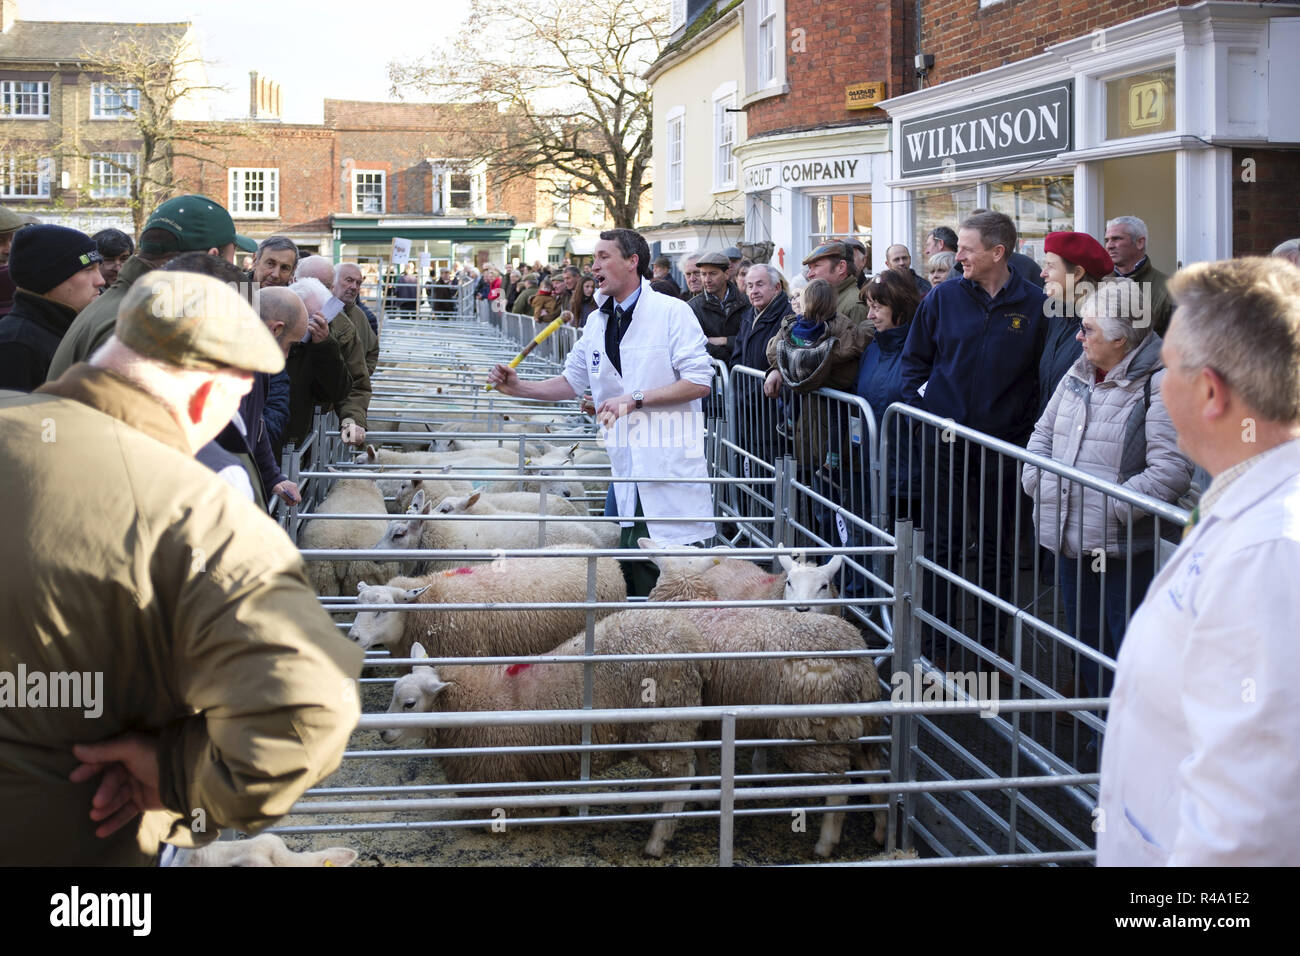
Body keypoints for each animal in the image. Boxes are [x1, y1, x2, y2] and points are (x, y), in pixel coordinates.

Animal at [382, 613, 707, 858]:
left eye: (409, 704)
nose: (384, 732)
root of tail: (688, 636)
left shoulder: (500, 778)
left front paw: (548, 810)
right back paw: (639, 806)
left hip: (665, 726)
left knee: (682, 776)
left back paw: (657, 839)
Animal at [644, 546, 889, 858]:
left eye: (823, 586)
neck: (689, 602)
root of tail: (856, 659)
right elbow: (703, 750)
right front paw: (707, 788)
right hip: (861, 725)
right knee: (875, 773)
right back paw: (880, 831)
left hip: (817, 732)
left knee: (839, 787)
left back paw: (825, 844)